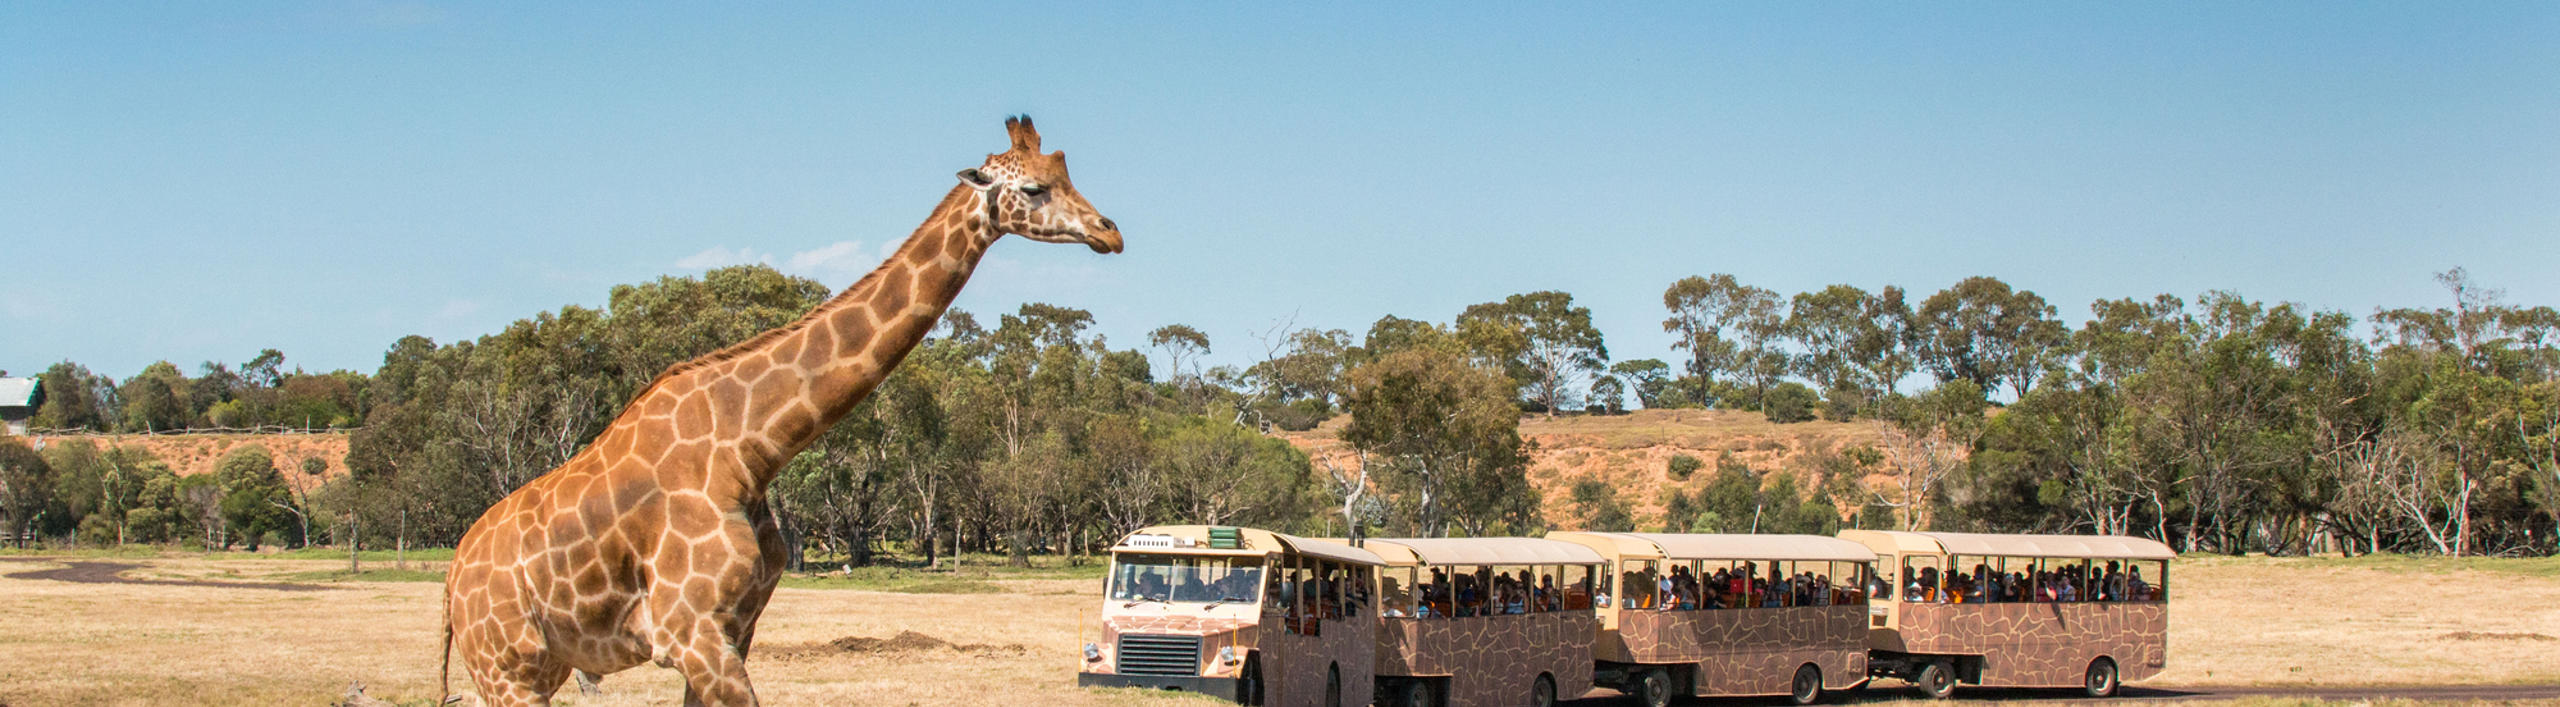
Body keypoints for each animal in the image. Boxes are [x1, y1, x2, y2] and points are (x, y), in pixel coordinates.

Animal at [441, 116, 1121, 706]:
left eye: (1065, 173)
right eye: (1034, 187)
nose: (1109, 231)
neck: (749, 448)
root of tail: (450, 584)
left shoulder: (735, 629)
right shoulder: (690, 632)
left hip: (542, 667)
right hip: (508, 670)